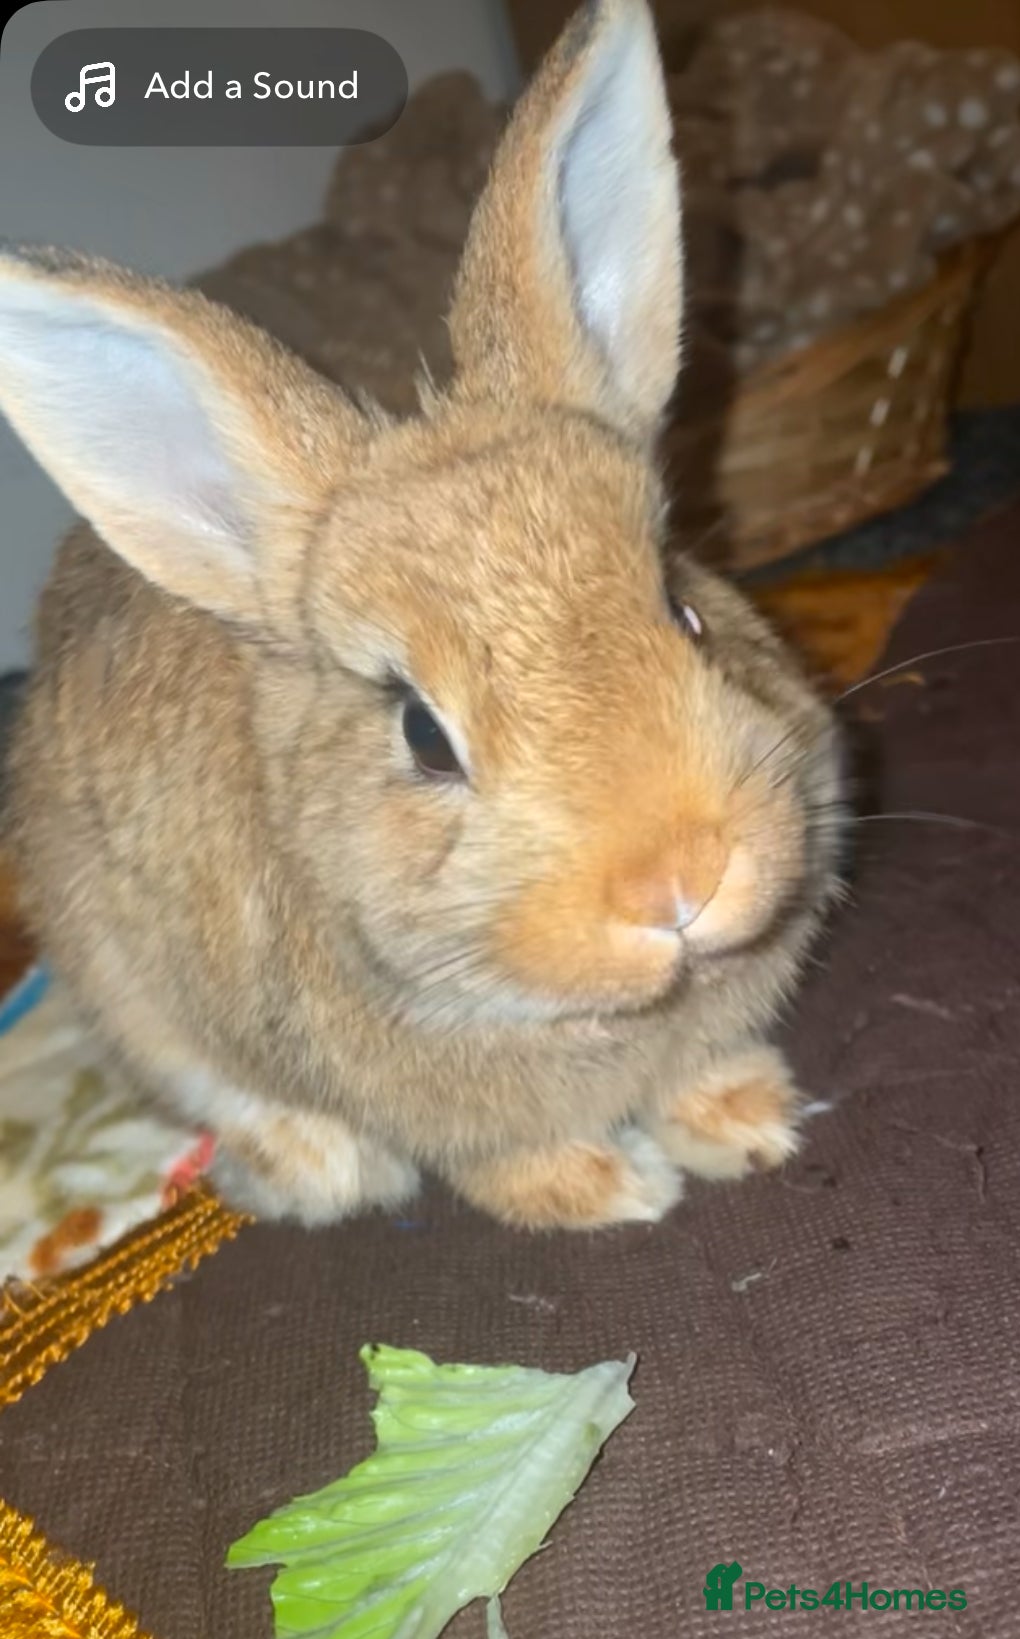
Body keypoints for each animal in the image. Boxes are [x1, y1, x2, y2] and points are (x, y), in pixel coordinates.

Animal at [0, 0, 842, 1233]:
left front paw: (748, 1125)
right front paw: (612, 1191)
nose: (677, 880)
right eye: (422, 736)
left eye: (682, 607)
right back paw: (317, 1171)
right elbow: (512, 1156)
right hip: (124, 989)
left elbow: (704, 1071)